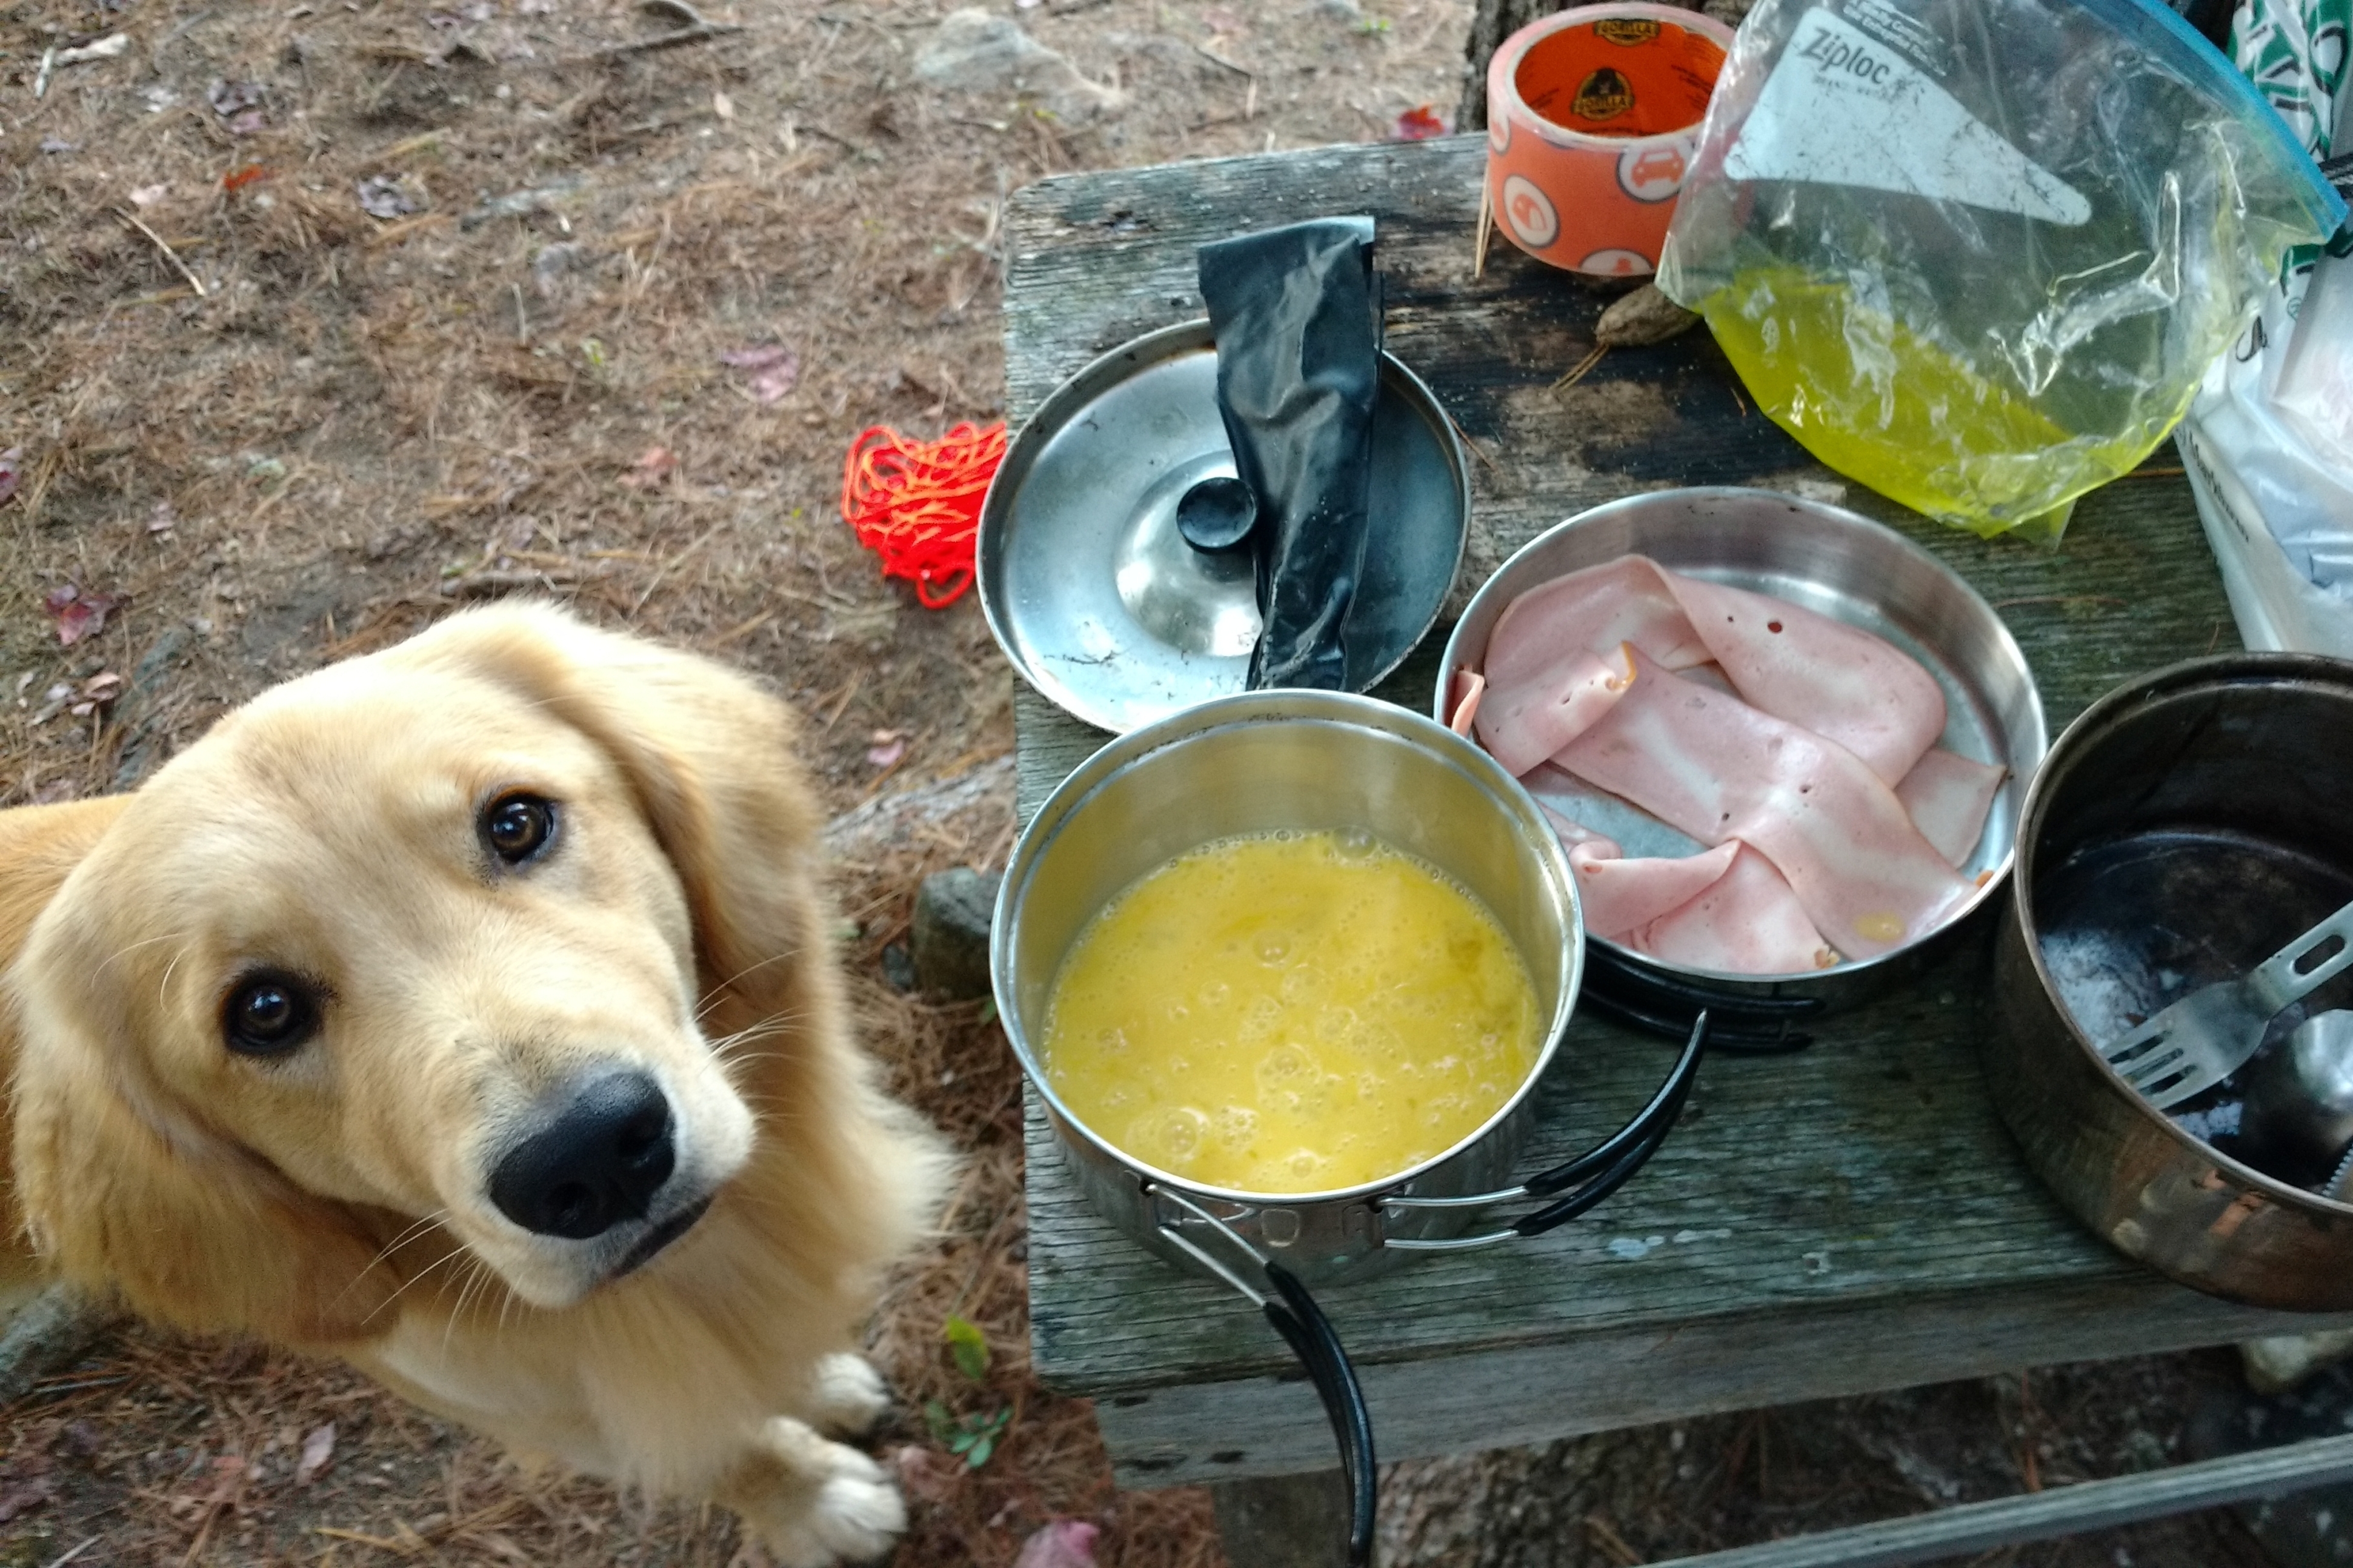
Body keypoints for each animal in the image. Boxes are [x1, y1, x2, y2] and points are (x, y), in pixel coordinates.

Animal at [4, 600, 955, 1563]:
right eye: (264, 1011)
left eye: (516, 823)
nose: (589, 1156)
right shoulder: (545, 1405)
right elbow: (728, 1449)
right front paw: (815, 1504)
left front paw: (817, 1382)